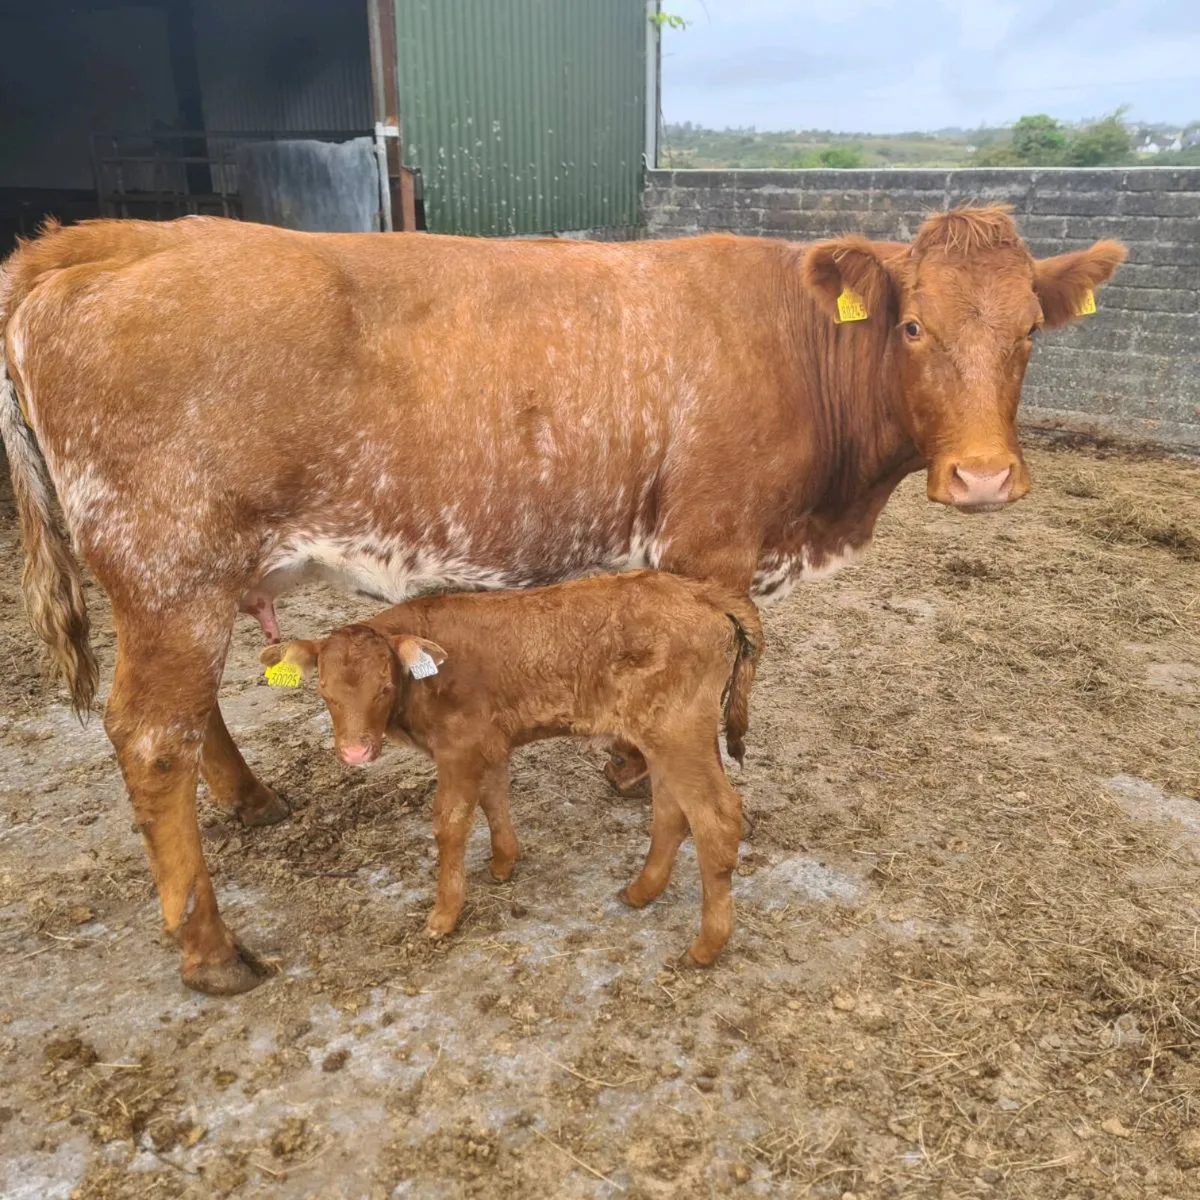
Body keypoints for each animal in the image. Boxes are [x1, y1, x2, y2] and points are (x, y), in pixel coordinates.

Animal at [261, 570, 762, 966]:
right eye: (324, 691)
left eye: (384, 687)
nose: (354, 753)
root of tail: (698, 590)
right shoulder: (490, 742)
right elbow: (493, 796)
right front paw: (504, 862)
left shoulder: (458, 748)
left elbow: (451, 822)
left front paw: (444, 914)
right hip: (668, 739)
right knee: (672, 813)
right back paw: (642, 891)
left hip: (678, 734)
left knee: (716, 819)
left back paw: (705, 947)